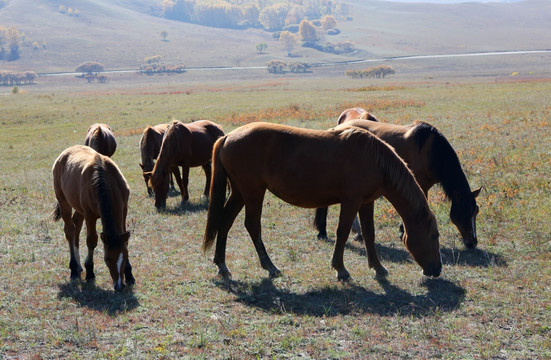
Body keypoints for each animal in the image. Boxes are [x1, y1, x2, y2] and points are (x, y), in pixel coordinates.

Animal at [52, 145, 135, 292]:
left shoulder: (124, 209)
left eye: (124, 256)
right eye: (107, 259)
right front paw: (90, 273)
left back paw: (78, 266)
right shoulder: (90, 215)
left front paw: (129, 274)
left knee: (76, 227)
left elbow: (124, 241)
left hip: (79, 209)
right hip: (64, 202)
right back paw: (74, 269)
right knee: (69, 230)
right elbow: (91, 241)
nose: (119, 286)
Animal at [202, 123, 440, 282]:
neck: (374, 159)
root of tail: (227, 137)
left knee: (225, 222)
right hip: (253, 193)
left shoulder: (366, 202)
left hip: (240, 193)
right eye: (433, 236)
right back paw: (270, 266)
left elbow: (369, 233)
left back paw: (222, 265)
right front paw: (340, 269)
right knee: (252, 226)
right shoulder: (351, 201)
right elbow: (343, 232)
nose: (437, 269)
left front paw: (378, 267)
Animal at [314, 116, 484, 249]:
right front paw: (404, 231)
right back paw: (323, 231)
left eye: (476, 211)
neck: (432, 151)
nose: (472, 243)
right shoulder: (419, 184)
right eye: (465, 211)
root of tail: (336, 128)